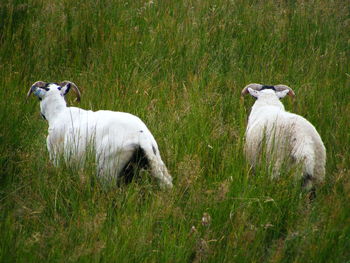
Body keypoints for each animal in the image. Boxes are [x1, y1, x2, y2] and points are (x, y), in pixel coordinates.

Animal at [27, 81, 174, 190]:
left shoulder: (56, 156)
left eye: (39, 98)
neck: (58, 113)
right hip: (153, 163)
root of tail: (143, 140)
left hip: (108, 168)